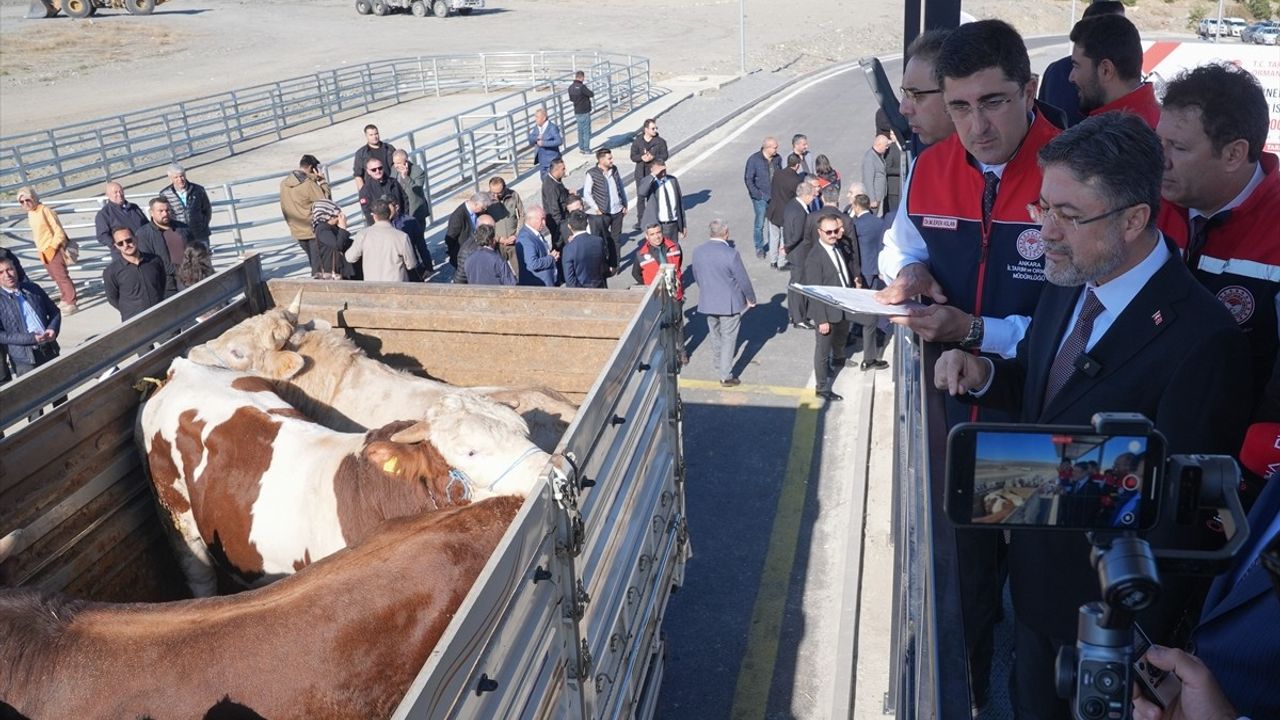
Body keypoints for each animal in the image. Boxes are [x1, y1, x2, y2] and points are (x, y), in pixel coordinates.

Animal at [141, 353, 550, 594]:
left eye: (523, 431)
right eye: (470, 451)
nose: (555, 468)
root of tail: (182, 368)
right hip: (177, 519)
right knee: (199, 574)